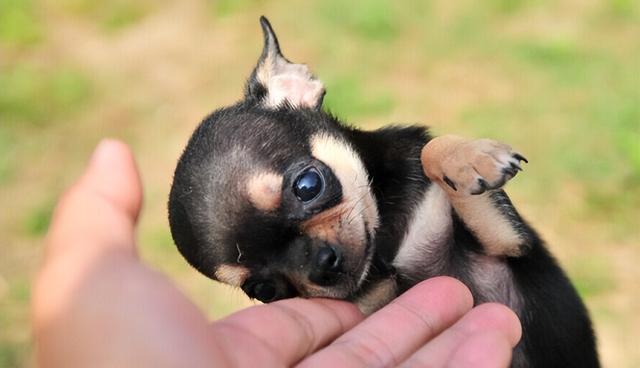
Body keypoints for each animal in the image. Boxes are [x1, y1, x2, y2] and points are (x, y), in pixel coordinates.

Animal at [170, 17, 600, 368]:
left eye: (308, 186)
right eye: (264, 290)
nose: (320, 266)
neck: (385, 245)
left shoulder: (509, 245)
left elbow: (428, 150)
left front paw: (469, 160)